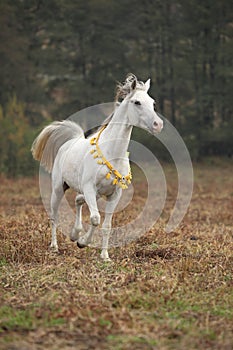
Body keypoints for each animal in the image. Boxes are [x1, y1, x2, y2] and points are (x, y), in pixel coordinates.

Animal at [31, 74, 163, 260]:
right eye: (137, 102)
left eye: (152, 102)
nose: (158, 124)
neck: (112, 152)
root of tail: (70, 142)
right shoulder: (89, 189)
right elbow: (95, 218)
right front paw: (82, 242)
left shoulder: (114, 194)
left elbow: (106, 225)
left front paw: (104, 255)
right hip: (58, 188)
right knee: (54, 216)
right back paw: (55, 246)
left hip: (95, 194)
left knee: (78, 200)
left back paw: (74, 233)